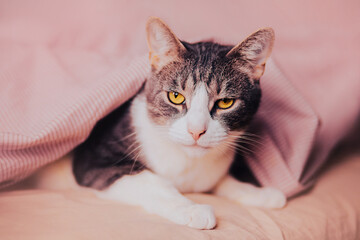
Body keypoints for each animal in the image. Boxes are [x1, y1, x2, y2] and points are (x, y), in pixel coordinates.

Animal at [73, 16, 286, 229]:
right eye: (175, 96)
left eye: (226, 102)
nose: (196, 131)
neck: (188, 162)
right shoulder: (96, 160)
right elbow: (152, 182)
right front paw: (193, 209)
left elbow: (222, 180)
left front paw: (260, 193)